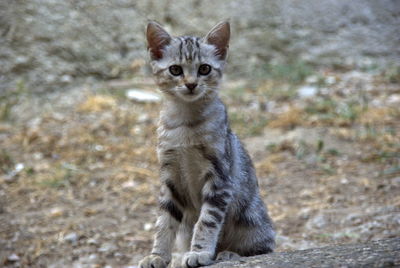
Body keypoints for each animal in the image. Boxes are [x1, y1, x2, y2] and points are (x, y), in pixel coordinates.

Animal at [138, 21, 276, 268]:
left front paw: (200, 252)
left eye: (204, 69)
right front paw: (158, 255)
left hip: (251, 219)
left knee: (263, 249)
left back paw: (228, 254)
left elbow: (207, 220)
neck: (186, 123)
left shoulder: (219, 177)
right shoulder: (170, 178)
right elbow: (164, 222)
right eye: (175, 70)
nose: (191, 84)